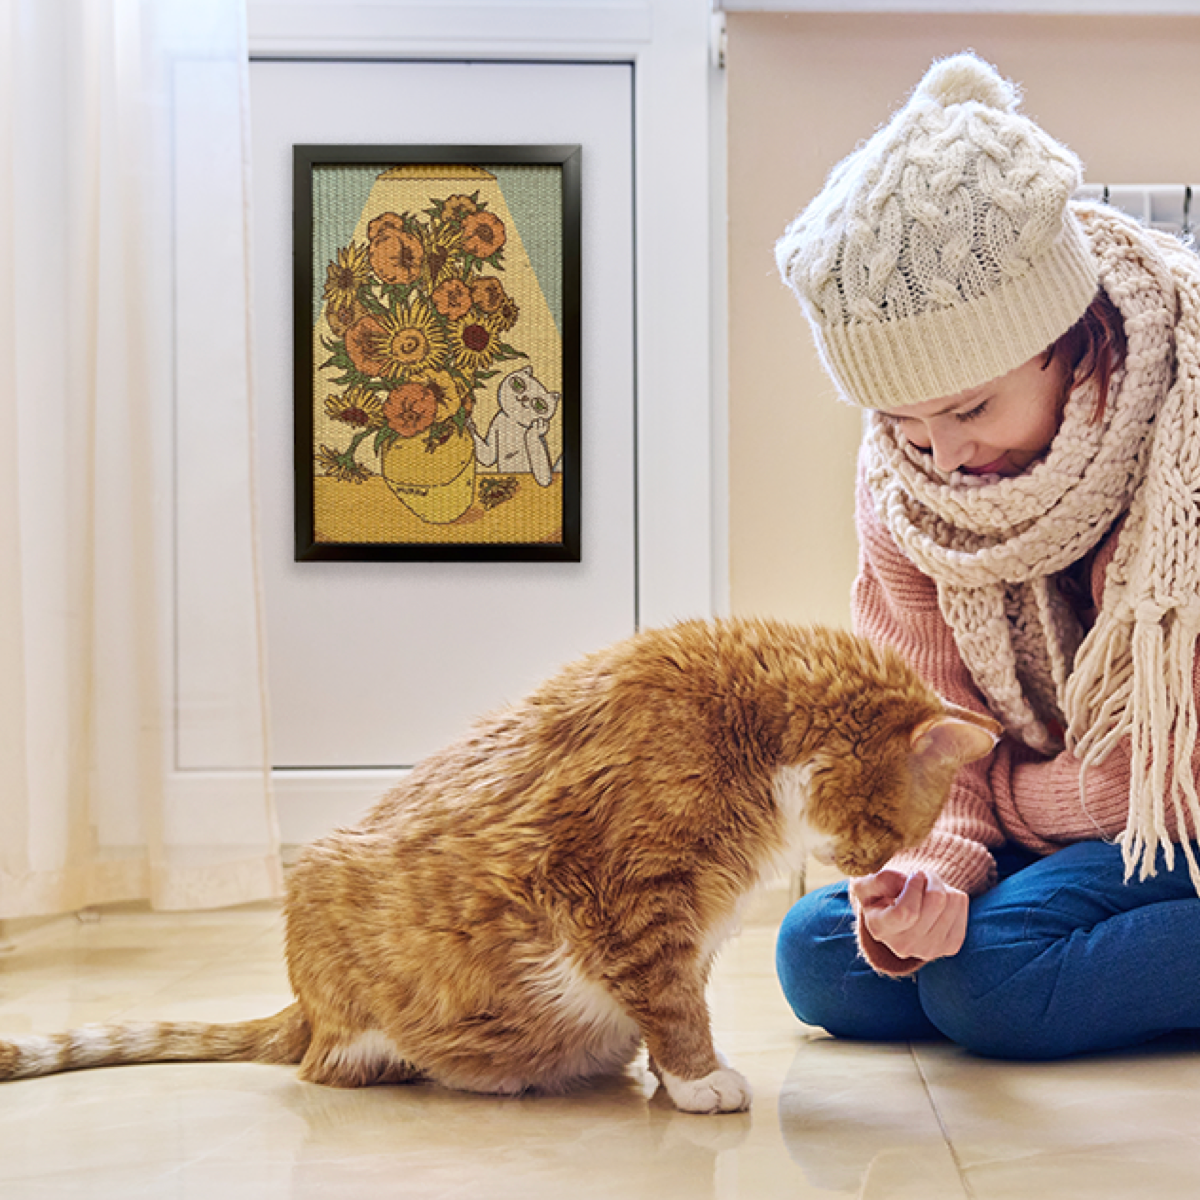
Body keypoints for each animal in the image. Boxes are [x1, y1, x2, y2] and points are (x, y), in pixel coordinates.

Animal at [0, 619, 993, 1113]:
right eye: (890, 827)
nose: (872, 868)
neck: (752, 736)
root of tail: (303, 1006)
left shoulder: (688, 926)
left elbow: (677, 995)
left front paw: (666, 1074)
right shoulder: (625, 897)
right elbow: (673, 1002)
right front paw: (697, 1077)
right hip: (324, 892)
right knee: (323, 1065)